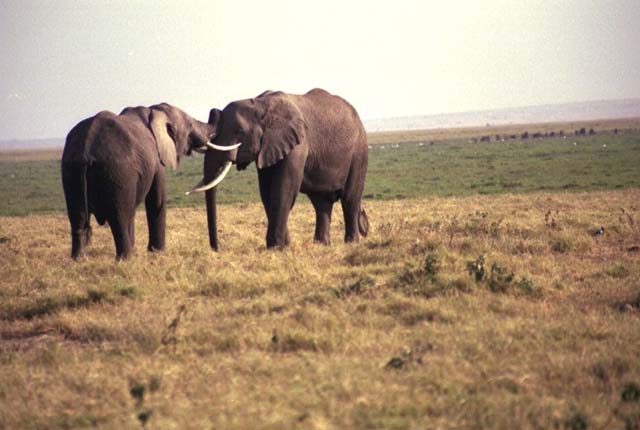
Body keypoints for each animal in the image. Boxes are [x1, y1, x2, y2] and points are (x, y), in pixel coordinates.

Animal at [60, 103, 234, 258]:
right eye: (190, 125)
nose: (215, 110)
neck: (156, 111)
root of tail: (86, 150)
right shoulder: (156, 158)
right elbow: (156, 200)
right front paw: (157, 253)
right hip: (118, 173)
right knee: (119, 216)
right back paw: (126, 258)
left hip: (70, 170)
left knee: (78, 217)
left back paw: (79, 260)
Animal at [188, 87, 368, 249]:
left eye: (240, 131)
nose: (217, 248)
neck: (260, 104)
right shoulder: (267, 148)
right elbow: (267, 193)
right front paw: (283, 246)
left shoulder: (297, 145)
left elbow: (283, 190)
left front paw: (276, 247)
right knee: (321, 202)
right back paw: (321, 245)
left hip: (359, 152)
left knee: (349, 198)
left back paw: (351, 244)